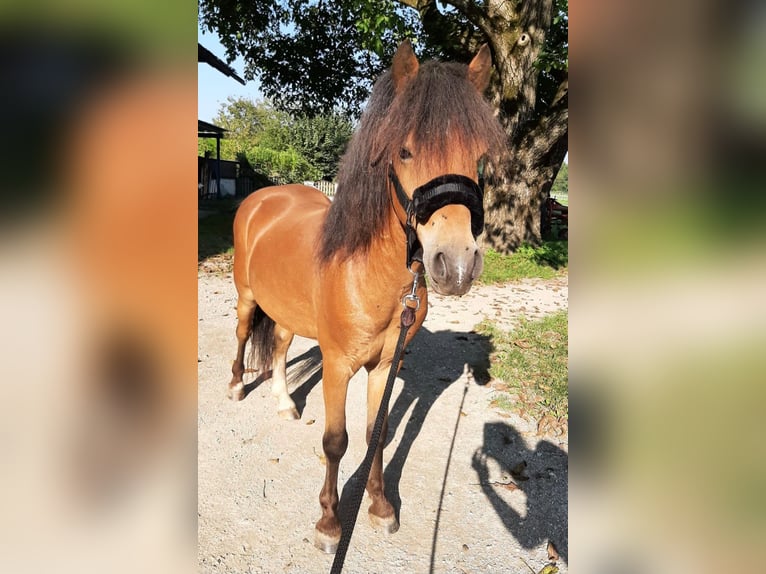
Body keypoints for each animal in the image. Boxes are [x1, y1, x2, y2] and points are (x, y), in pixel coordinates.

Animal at [228, 40, 504, 552]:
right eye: (405, 151)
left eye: (477, 154)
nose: (456, 264)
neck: (367, 275)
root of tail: (263, 198)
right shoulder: (338, 365)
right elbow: (336, 441)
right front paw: (329, 524)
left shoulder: (385, 365)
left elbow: (380, 432)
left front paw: (379, 506)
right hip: (246, 296)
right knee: (241, 335)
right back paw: (237, 384)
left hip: (286, 310)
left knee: (280, 345)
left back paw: (283, 401)